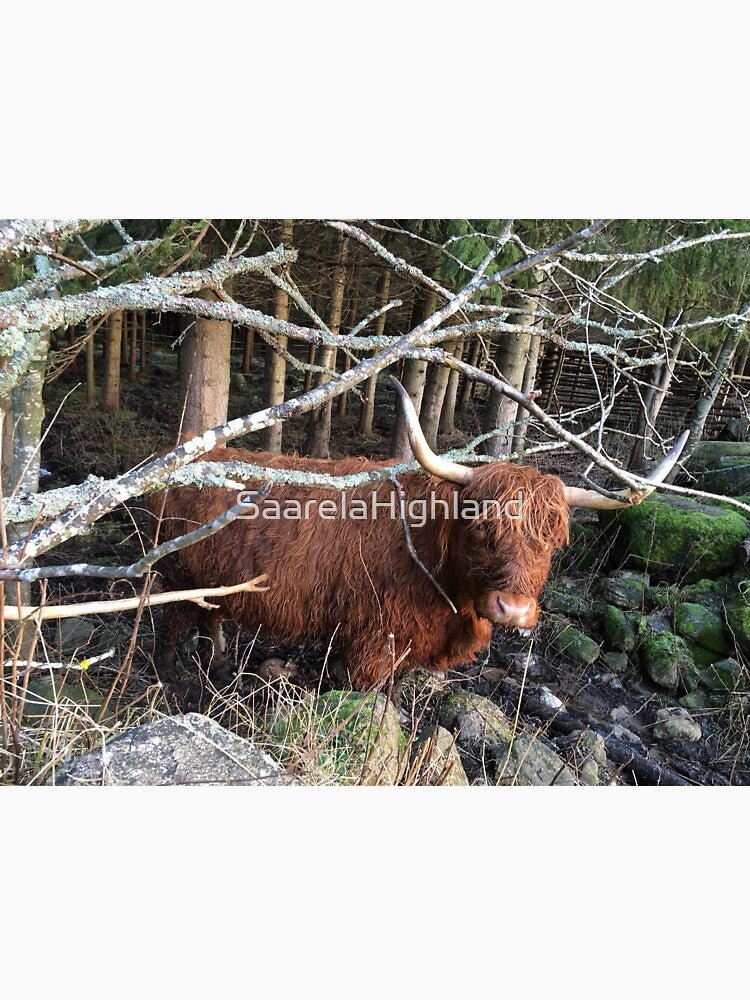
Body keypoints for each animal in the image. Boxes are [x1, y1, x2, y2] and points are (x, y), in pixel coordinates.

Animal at [150, 378, 687, 690]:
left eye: (554, 543)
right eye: (481, 526)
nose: (513, 610)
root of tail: (186, 456)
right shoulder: (373, 642)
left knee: (213, 618)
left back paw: (220, 665)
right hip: (174, 576)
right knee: (169, 628)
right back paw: (169, 679)